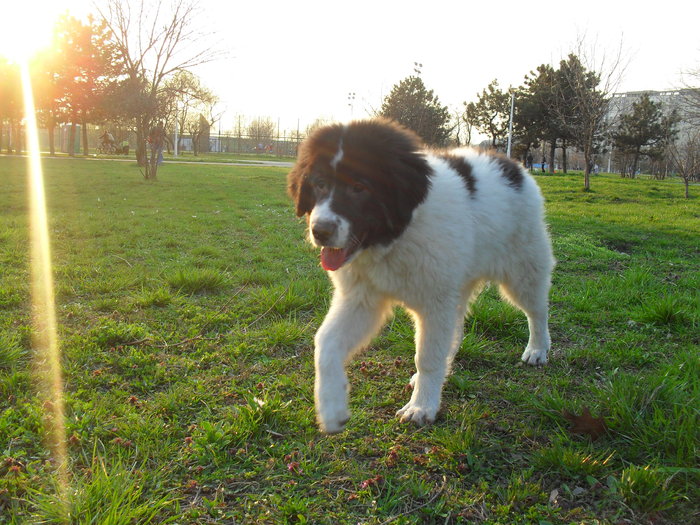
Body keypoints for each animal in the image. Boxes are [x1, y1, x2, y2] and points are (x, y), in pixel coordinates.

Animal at [288, 119, 556, 434]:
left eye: (359, 187)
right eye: (319, 184)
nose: (320, 231)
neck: (396, 237)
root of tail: (511, 164)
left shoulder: (434, 302)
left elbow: (427, 356)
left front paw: (421, 407)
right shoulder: (362, 298)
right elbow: (325, 342)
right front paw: (332, 409)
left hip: (523, 267)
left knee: (537, 310)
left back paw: (537, 349)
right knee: (456, 328)